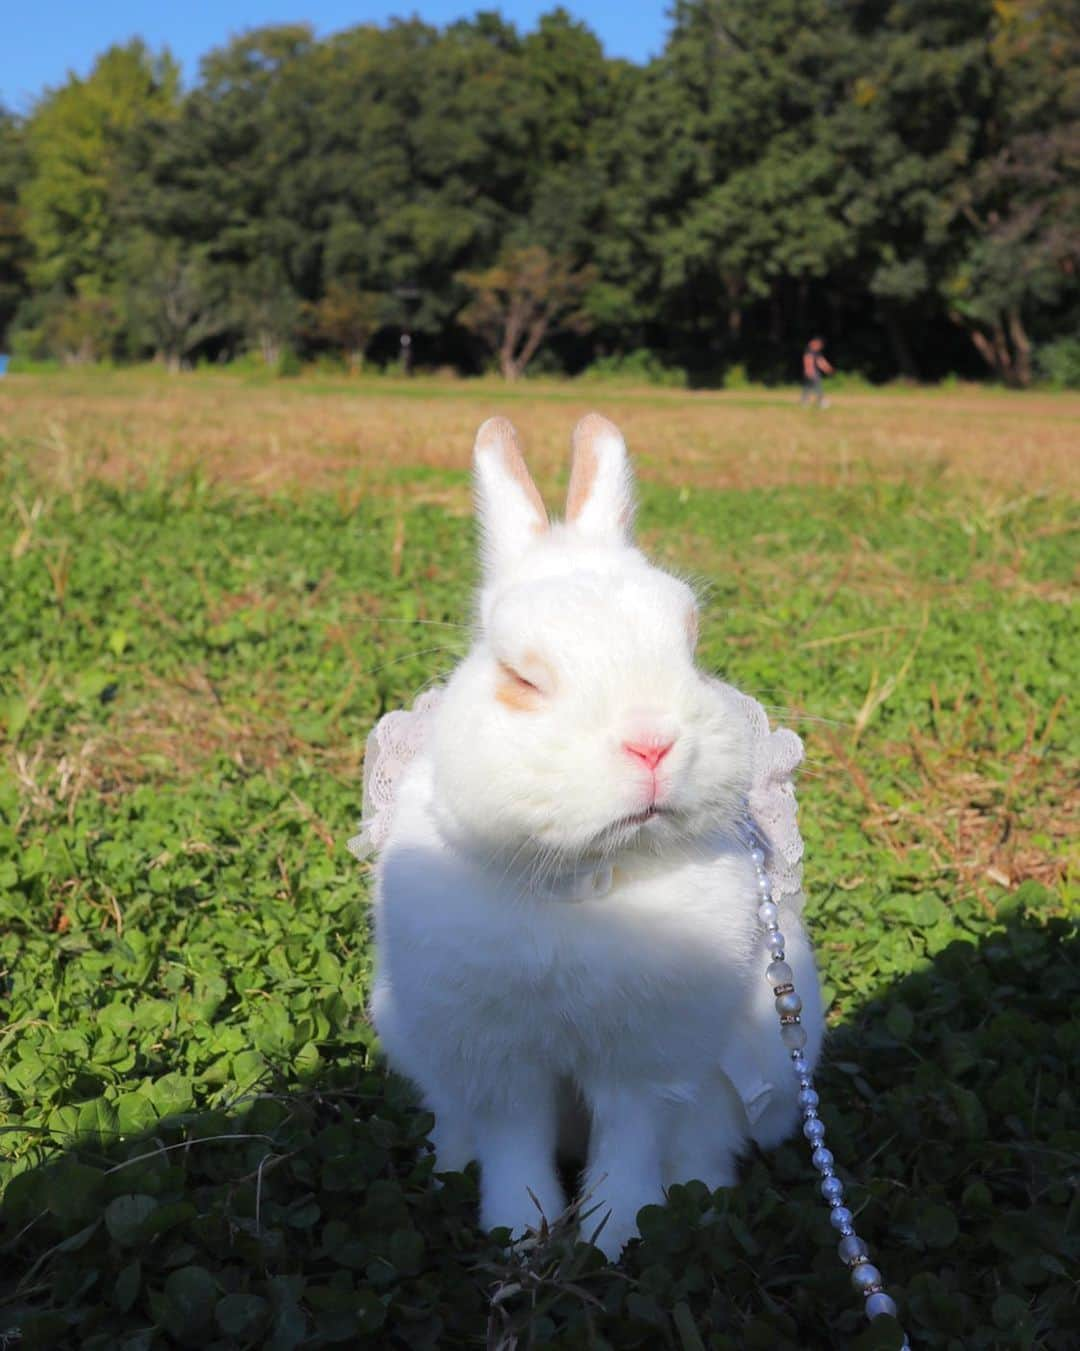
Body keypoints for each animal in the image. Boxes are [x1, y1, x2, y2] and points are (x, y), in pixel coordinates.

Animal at [367, 416, 821, 1259]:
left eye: (690, 642)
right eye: (521, 676)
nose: (651, 744)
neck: (589, 875)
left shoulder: (645, 1059)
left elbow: (629, 1144)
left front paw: (617, 1235)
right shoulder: (499, 1060)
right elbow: (514, 1143)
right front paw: (520, 1232)